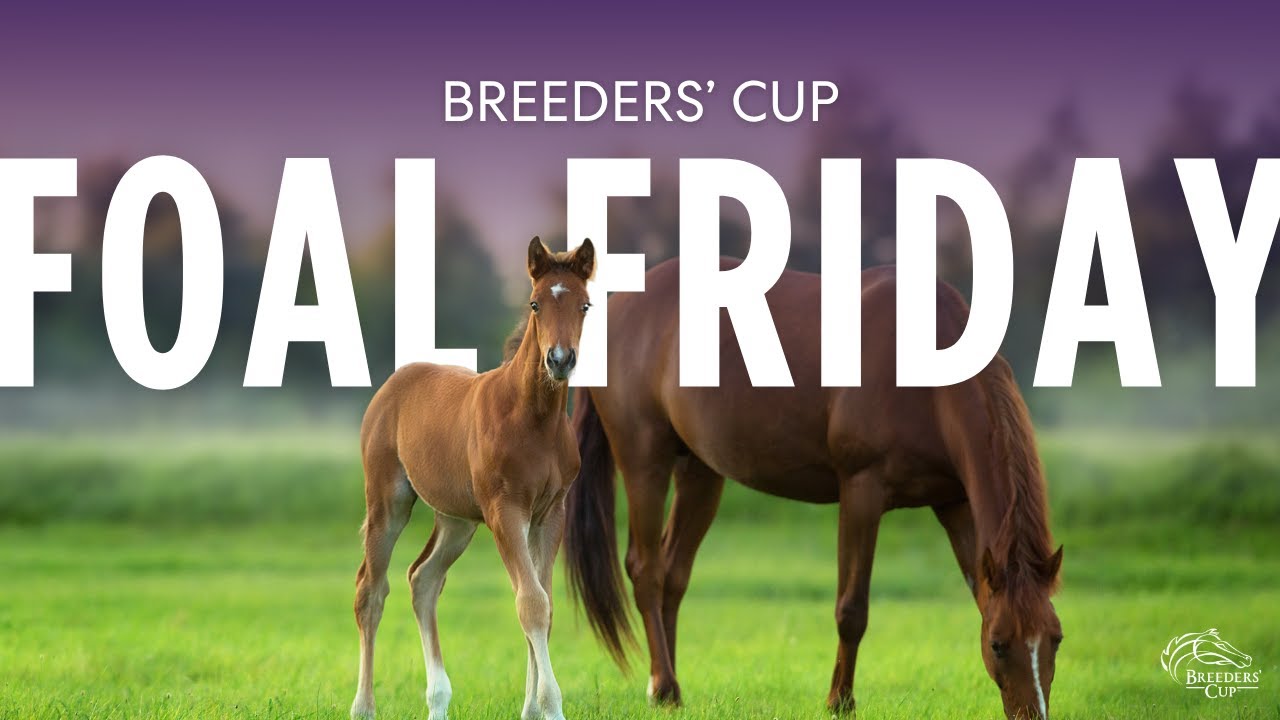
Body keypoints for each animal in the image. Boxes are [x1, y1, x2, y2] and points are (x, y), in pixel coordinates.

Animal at [350, 237, 595, 720]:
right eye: (535, 303)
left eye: (585, 305)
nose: (559, 360)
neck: (532, 419)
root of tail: (394, 383)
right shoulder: (506, 511)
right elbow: (531, 604)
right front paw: (550, 707)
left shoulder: (549, 513)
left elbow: (544, 604)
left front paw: (531, 710)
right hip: (387, 501)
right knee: (371, 590)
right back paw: (364, 707)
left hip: (456, 520)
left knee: (423, 580)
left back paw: (438, 702)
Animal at [564, 257, 1065, 719]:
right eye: (999, 645)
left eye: (1056, 640)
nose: (1033, 715)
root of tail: (618, 306)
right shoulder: (862, 491)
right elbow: (852, 609)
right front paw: (839, 701)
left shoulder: (955, 503)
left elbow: (978, 595)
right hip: (644, 460)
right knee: (646, 570)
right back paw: (664, 686)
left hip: (700, 472)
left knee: (673, 573)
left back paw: (667, 687)